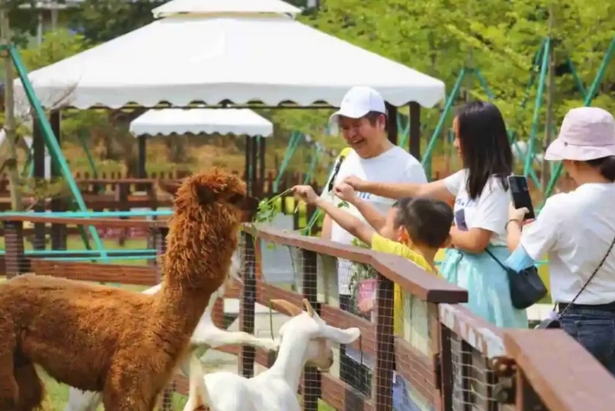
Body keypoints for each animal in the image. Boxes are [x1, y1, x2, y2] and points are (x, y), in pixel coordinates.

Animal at [64, 256, 276, 410]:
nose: (245, 266)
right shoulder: (207, 334)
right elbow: (243, 335)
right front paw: (272, 345)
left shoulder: (185, 355)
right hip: (85, 396)